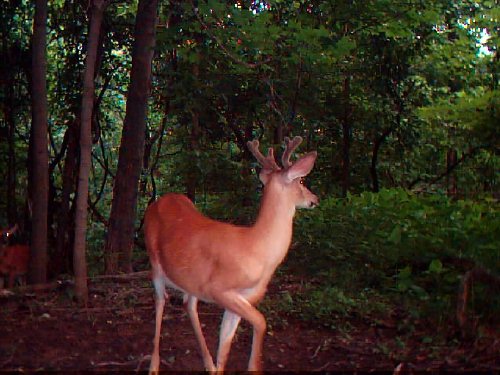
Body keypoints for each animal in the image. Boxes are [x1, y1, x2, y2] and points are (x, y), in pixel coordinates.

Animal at [143, 137, 318, 374]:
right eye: (301, 181)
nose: (315, 199)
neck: (258, 249)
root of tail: (156, 202)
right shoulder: (219, 289)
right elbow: (261, 322)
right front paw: (254, 366)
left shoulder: (240, 298)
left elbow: (224, 350)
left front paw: (217, 364)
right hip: (155, 263)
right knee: (161, 301)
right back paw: (154, 365)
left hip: (191, 280)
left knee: (188, 304)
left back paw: (207, 363)